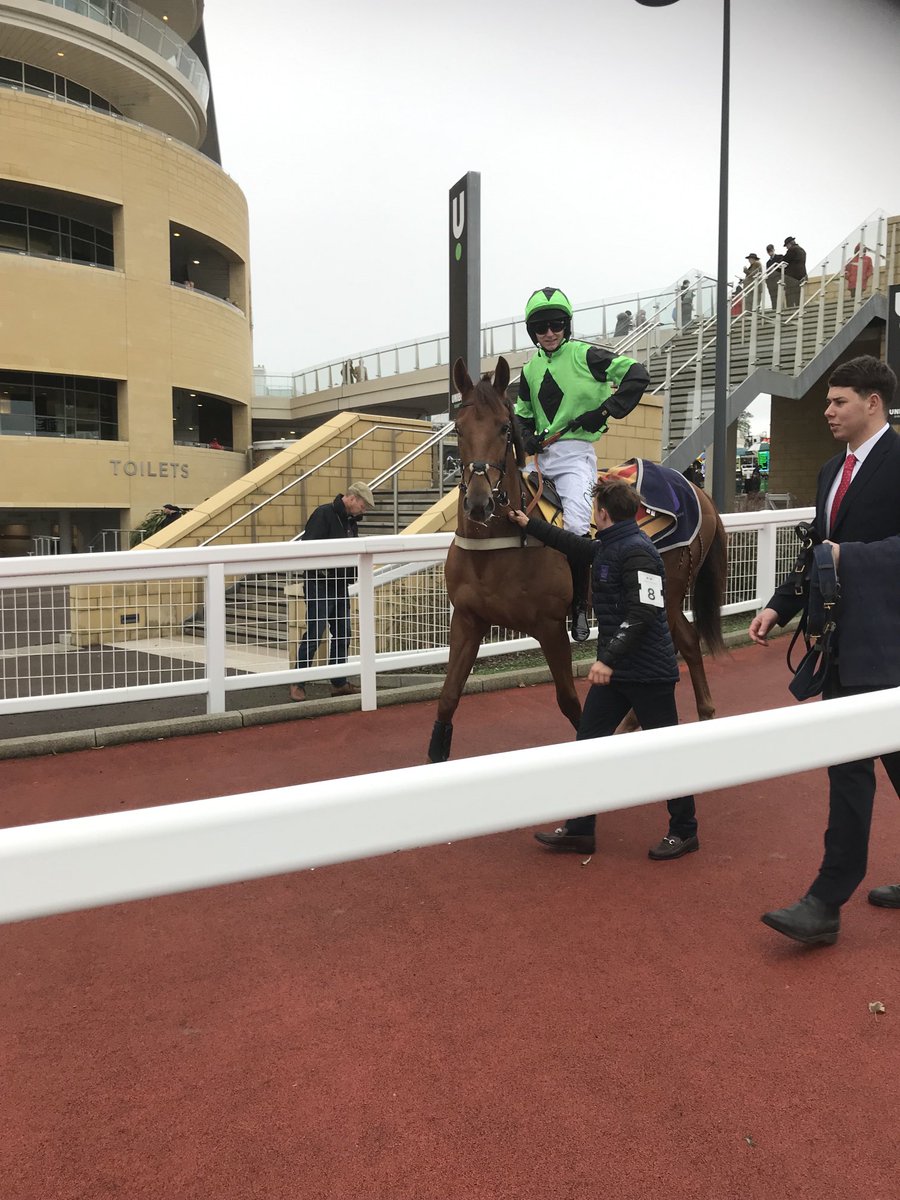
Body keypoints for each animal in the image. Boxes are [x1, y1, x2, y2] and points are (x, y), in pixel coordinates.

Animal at [427, 355, 729, 763]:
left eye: (504, 428)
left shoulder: (551, 626)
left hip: (666, 592)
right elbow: (447, 698)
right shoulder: (467, 619)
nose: (478, 503)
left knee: (675, 646)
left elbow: (569, 701)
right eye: (458, 429)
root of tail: (697, 489)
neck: (497, 546)